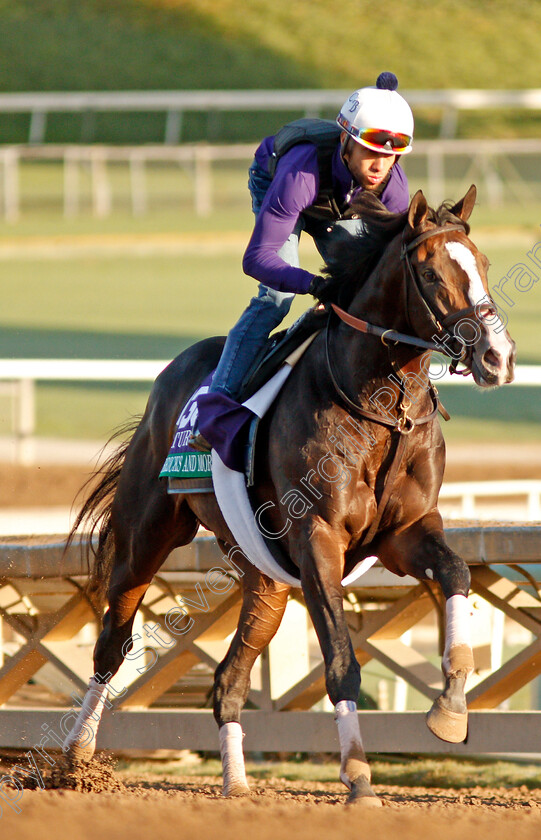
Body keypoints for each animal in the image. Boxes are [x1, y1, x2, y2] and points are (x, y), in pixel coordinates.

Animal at [63, 187, 516, 804]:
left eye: (485, 264)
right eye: (429, 272)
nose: (498, 357)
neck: (379, 409)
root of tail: (170, 377)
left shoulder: (404, 532)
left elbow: (456, 572)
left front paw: (449, 708)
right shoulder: (317, 538)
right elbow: (341, 659)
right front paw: (358, 776)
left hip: (265, 574)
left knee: (228, 678)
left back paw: (235, 783)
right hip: (146, 535)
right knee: (113, 639)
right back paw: (75, 759)